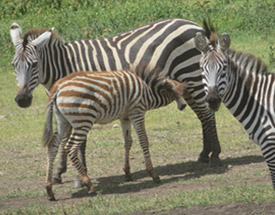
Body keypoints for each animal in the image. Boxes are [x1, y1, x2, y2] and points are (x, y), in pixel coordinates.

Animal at [9, 18, 223, 186]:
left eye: (34, 64)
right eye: (13, 65)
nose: (22, 100)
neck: (62, 66)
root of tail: (192, 24)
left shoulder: (82, 101)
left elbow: (79, 141)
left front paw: (81, 174)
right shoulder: (64, 106)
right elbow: (63, 138)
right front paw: (59, 173)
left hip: (192, 75)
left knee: (207, 114)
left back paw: (214, 156)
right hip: (188, 81)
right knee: (202, 114)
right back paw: (204, 154)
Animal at [43, 68, 189, 201]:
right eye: (178, 92)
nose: (183, 106)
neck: (147, 90)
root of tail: (58, 87)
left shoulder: (125, 117)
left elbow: (128, 142)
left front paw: (128, 173)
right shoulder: (137, 112)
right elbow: (143, 140)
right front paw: (153, 174)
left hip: (62, 121)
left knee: (52, 146)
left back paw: (49, 190)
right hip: (83, 120)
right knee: (71, 147)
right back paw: (89, 184)